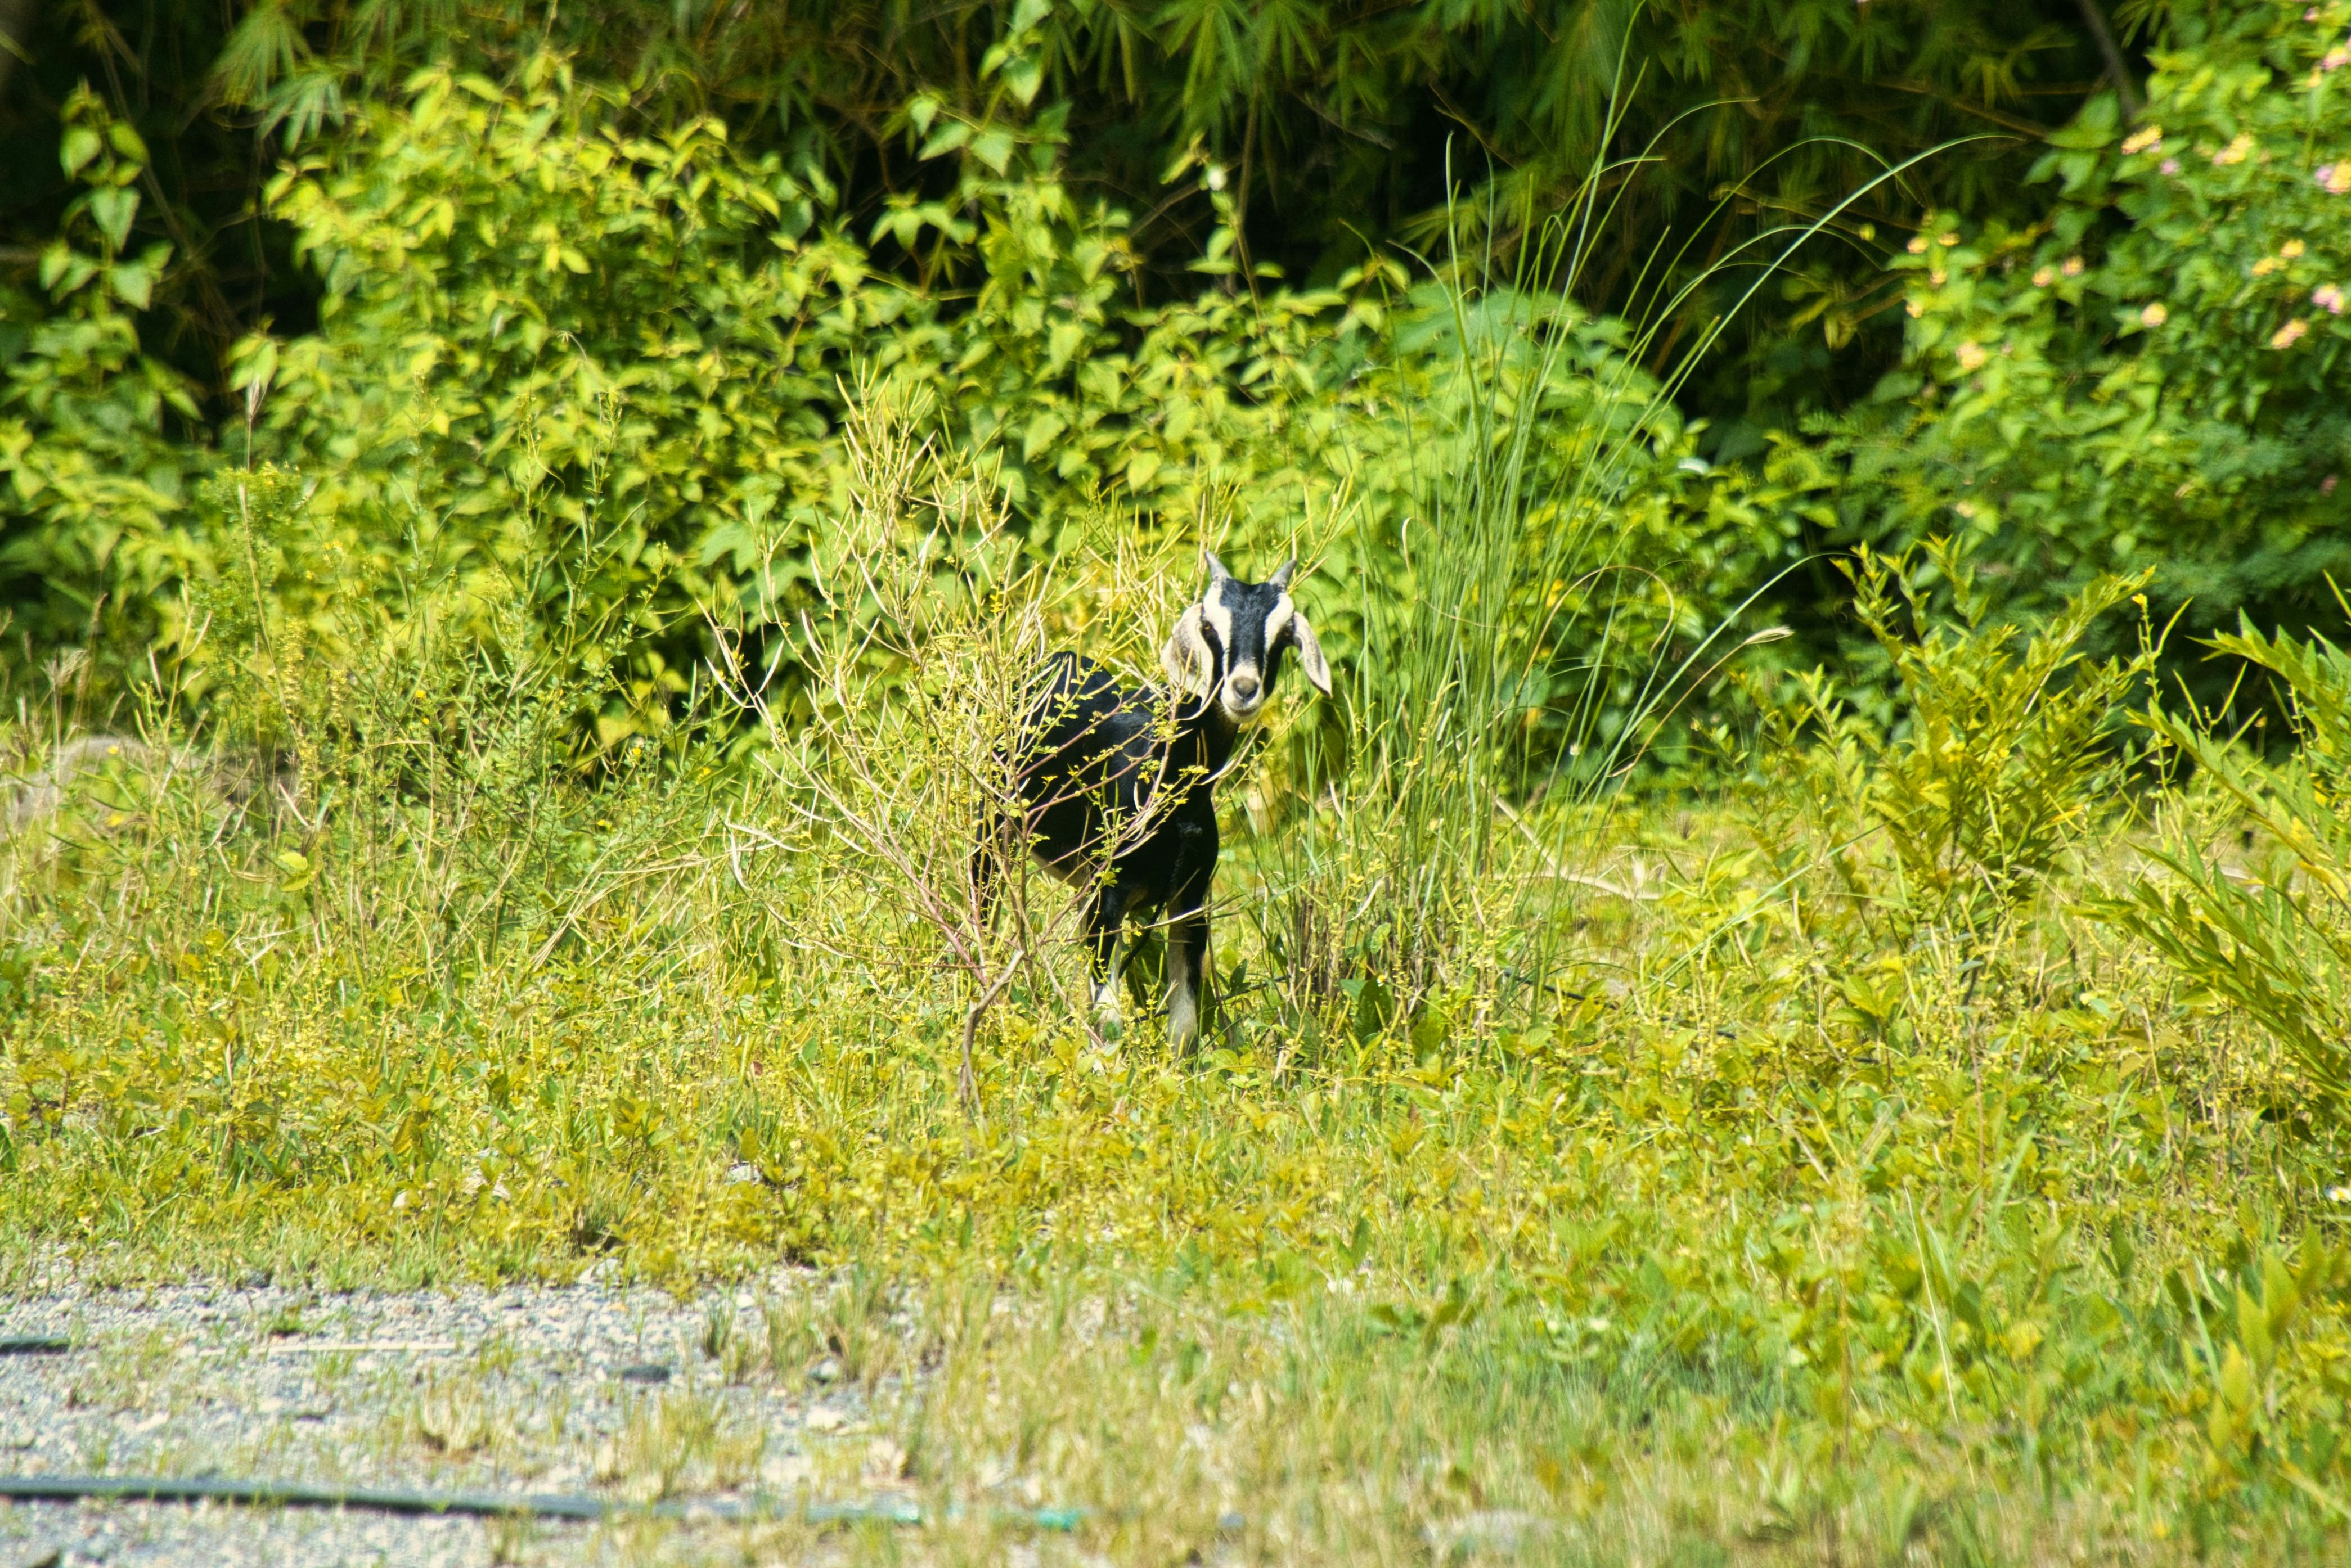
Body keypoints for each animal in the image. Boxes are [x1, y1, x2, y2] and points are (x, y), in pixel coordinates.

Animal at [981, 554, 1332, 1050]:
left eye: (1283, 634)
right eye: (1208, 625)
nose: (1243, 689)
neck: (1167, 797)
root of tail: (1056, 662)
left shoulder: (1190, 901)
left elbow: (1184, 1026)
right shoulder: (1106, 898)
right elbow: (1108, 1021)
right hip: (995, 826)